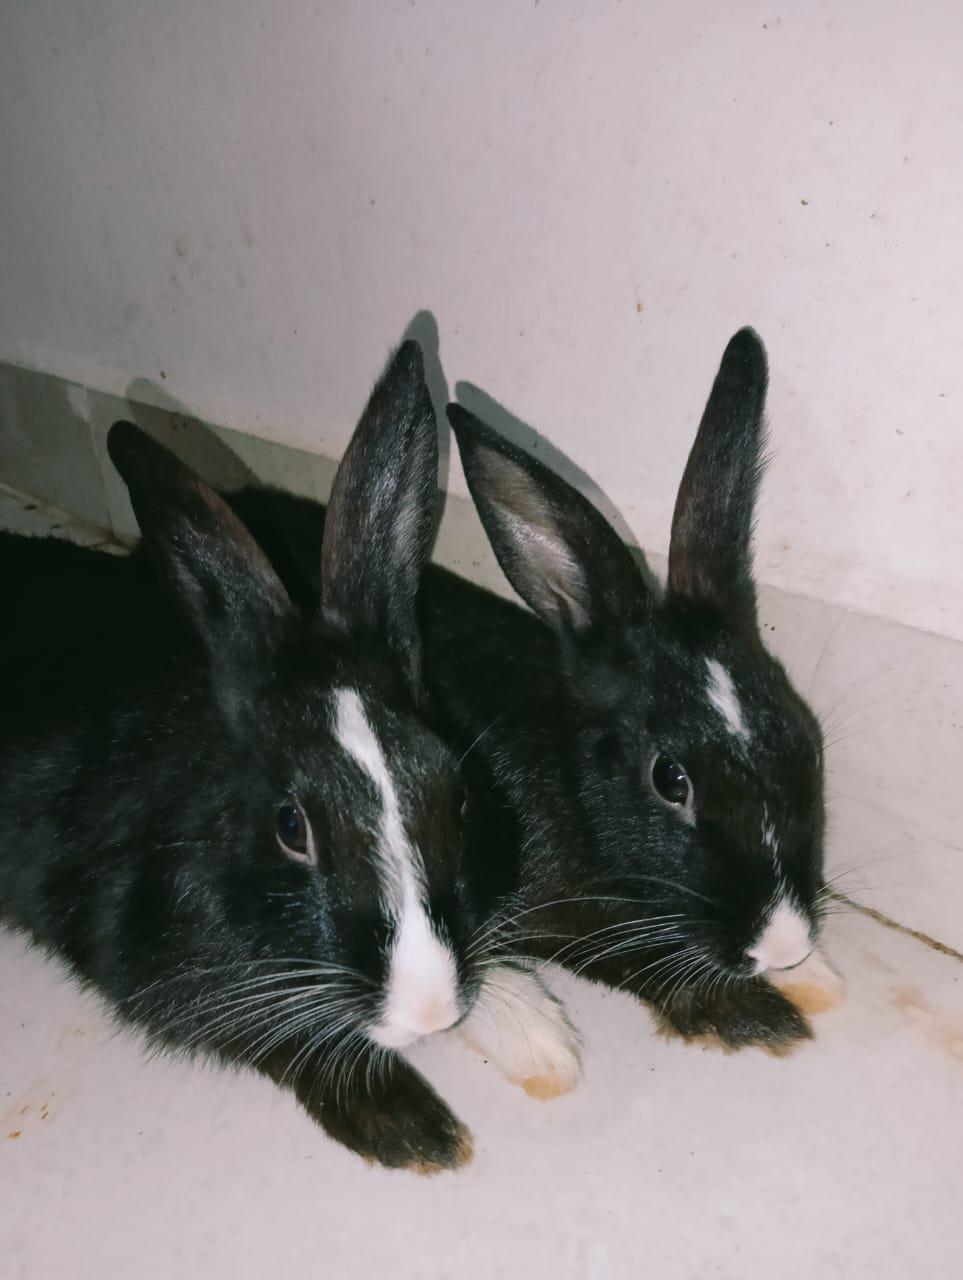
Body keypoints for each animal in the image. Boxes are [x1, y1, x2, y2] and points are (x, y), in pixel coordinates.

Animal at [0, 341, 579, 1173]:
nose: (428, 1011)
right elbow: (276, 1037)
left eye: (458, 793)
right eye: (290, 828)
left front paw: (535, 1032)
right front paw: (415, 1131)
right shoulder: (147, 962)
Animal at [227, 329, 835, 1056]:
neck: (572, 785)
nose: (784, 944)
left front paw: (815, 976)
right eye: (669, 779)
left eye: (805, 737)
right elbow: (622, 956)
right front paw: (759, 1016)